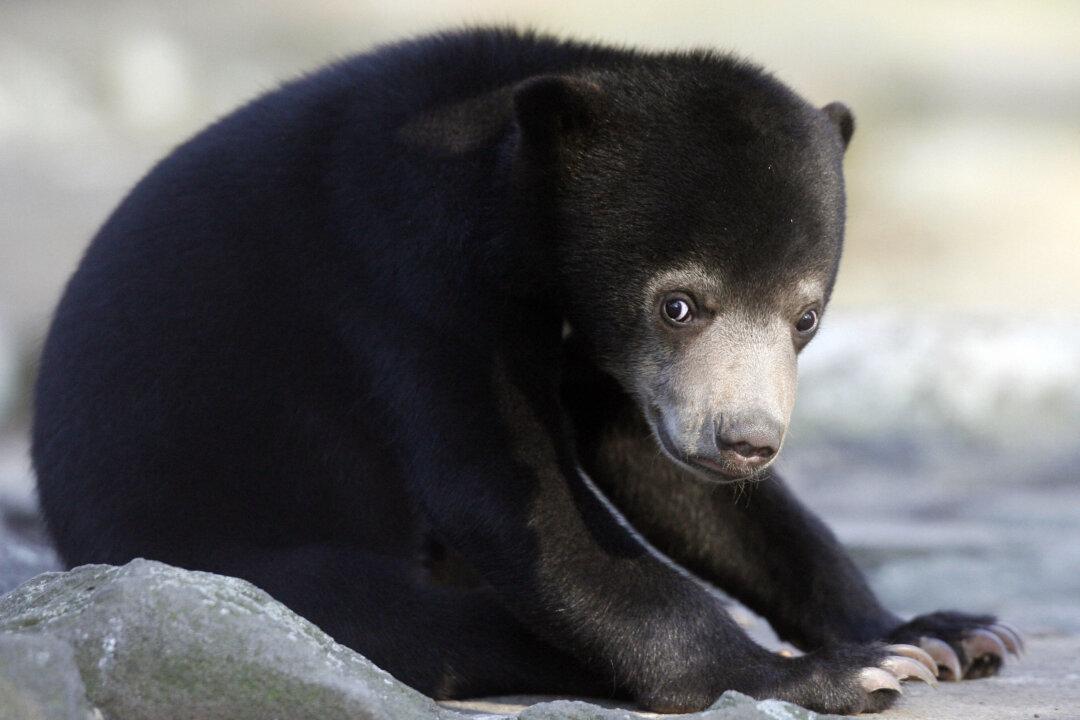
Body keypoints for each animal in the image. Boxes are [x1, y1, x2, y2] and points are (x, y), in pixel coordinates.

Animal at [32, 28, 1020, 715]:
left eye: (805, 316)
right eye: (679, 303)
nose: (746, 440)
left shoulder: (616, 363)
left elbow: (674, 482)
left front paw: (939, 633)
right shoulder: (407, 275)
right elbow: (517, 501)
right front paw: (832, 672)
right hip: (204, 537)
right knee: (387, 615)